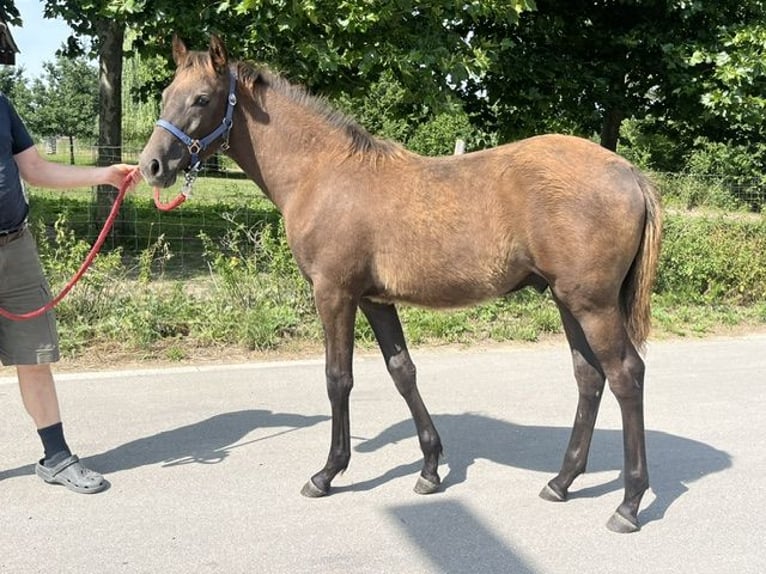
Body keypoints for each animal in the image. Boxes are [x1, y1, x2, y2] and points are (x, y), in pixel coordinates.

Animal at [139, 35, 662, 533]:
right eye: (165, 94)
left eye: (202, 98)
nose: (152, 166)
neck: (321, 173)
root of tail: (630, 173)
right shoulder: (375, 299)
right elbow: (402, 372)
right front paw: (430, 469)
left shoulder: (334, 294)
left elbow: (338, 378)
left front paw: (327, 473)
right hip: (567, 299)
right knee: (589, 378)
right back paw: (561, 481)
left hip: (593, 304)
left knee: (625, 375)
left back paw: (629, 504)